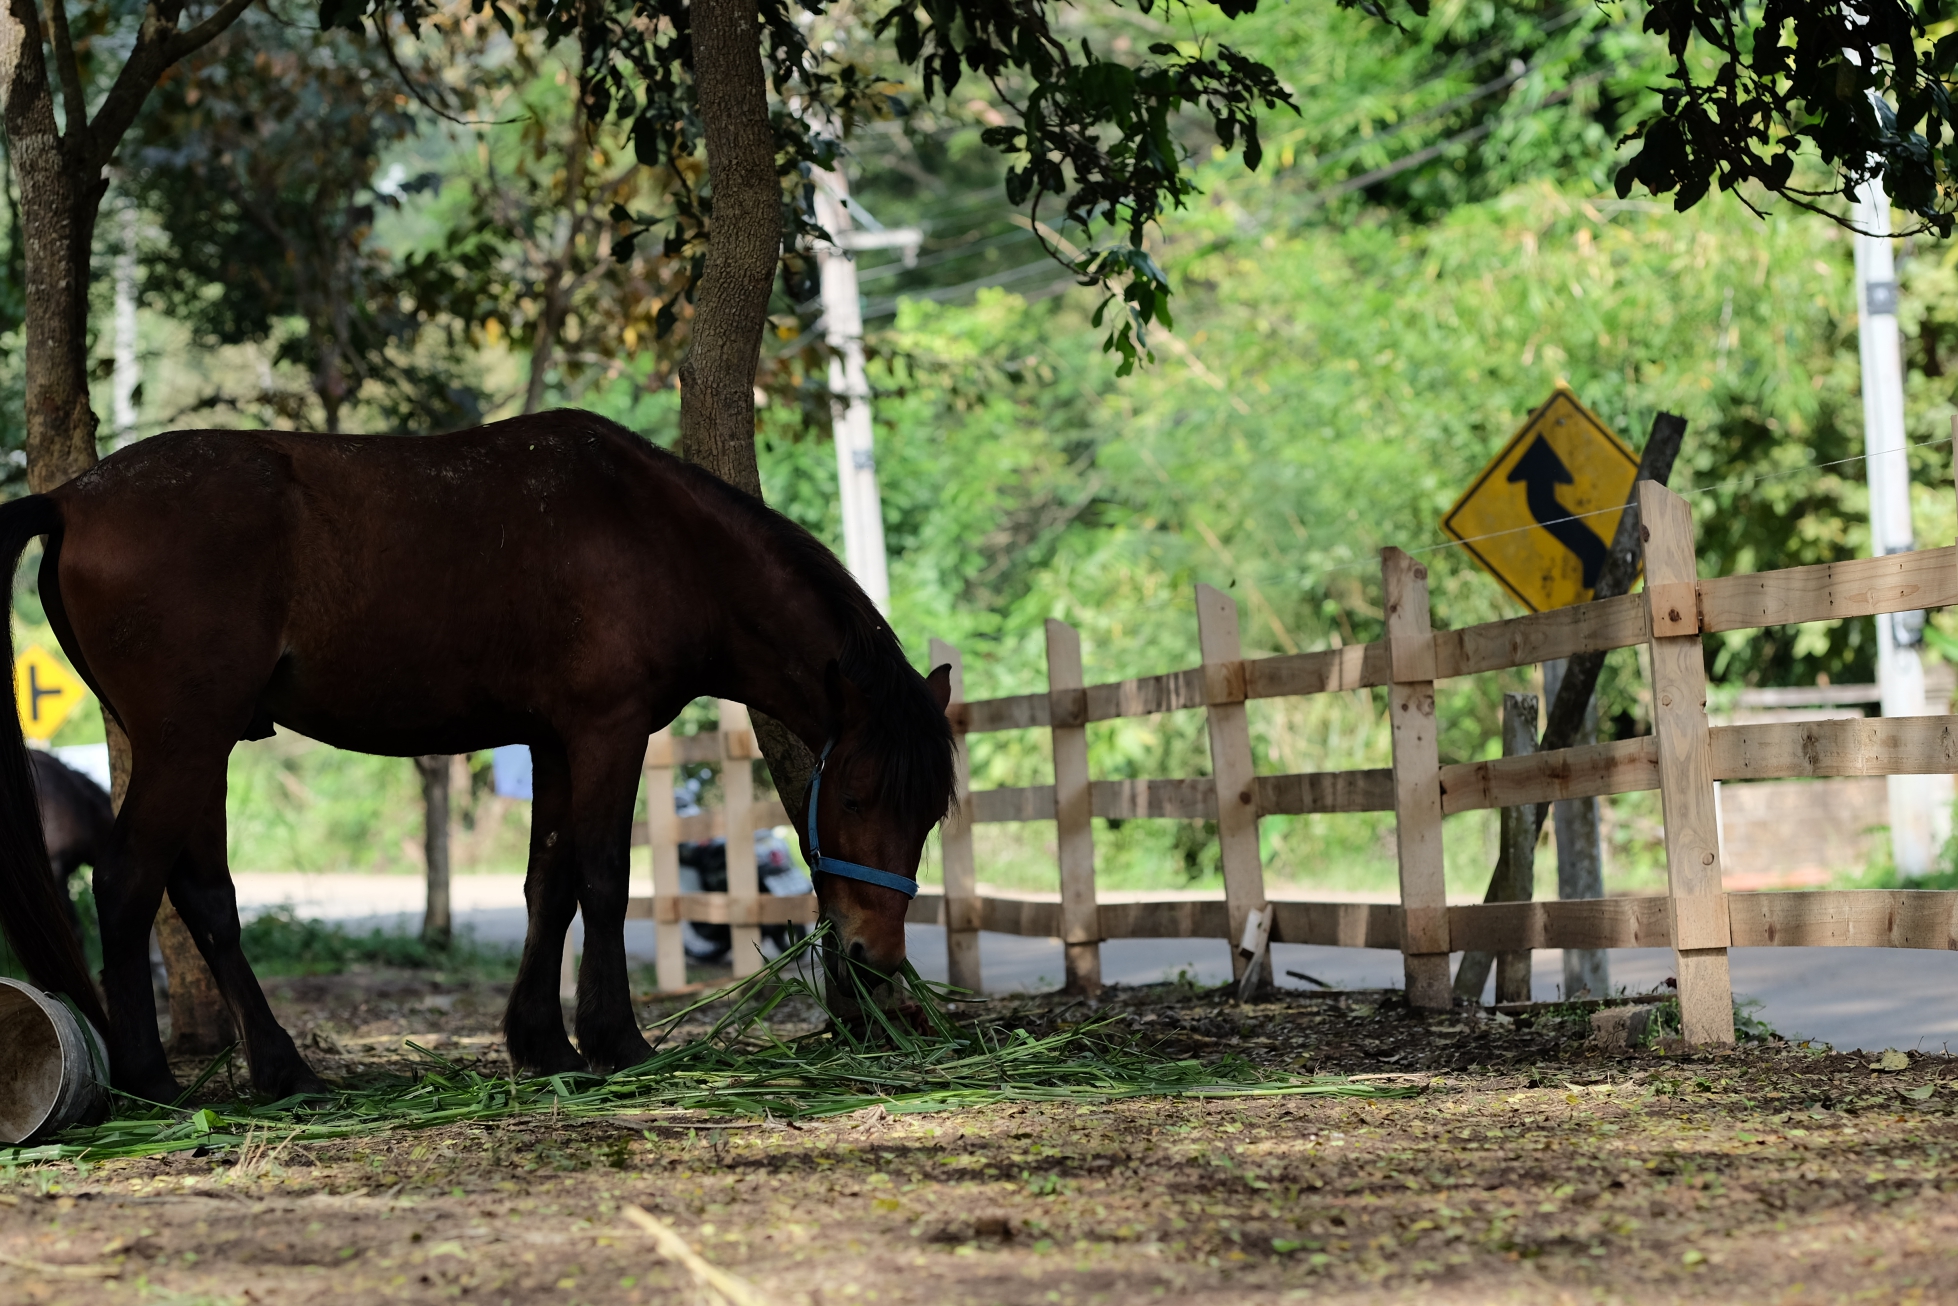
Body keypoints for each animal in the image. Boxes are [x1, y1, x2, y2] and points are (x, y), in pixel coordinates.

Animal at [0, 410, 956, 1103]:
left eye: (930, 812)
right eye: (858, 797)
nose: (875, 952)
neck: (658, 533)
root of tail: (74, 497)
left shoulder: (553, 741)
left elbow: (550, 885)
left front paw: (543, 1042)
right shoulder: (608, 732)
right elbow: (604, 879)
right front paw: (617, 1040)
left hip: (199, 746)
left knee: (204, 897)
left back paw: (285, 1071)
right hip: (184, 743)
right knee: (127, 881)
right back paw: (152, 1079)